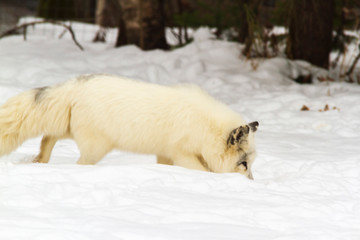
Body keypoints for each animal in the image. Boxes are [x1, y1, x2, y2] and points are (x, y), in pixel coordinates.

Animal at [0, 74, 258, 178]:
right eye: (244, 164)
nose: (251, 183)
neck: (207, 128)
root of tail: (75, 85)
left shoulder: (165, 153)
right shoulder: (181, 153)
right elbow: (202, 171)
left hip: (67, 131)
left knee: (47, 138)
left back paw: (39, 161)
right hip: (95, 149)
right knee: (77, 161)